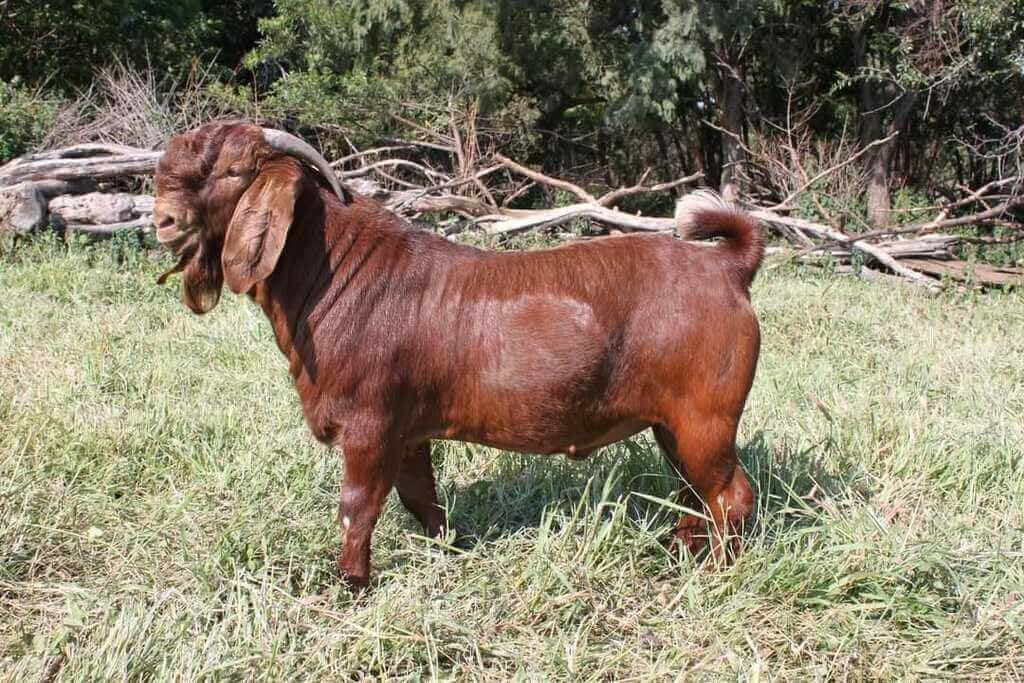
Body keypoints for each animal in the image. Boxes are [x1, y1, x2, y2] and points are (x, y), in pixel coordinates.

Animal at [153, 121, 764, 589]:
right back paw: (680, 548)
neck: (339, 271)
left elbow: (357, 506)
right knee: (694, 489)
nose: (162, 219)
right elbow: (421, 496)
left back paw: (716, 572)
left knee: (730, 493)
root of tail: (726, 265)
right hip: (672, 422)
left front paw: (349, 583)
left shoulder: (370, 423)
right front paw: (451, 549)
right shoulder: (407, 429)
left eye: (232, 172)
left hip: (705, 416)